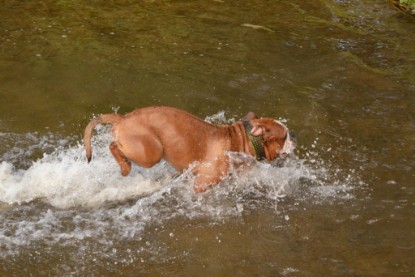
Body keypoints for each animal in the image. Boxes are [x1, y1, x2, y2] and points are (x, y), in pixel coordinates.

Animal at [83, 105, 296, 192]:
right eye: (285, 135)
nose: (294, 135)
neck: (243, 141)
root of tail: (123, 118)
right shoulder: (201, 184)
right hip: (151, 153)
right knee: (113, 146)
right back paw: (125, 167)